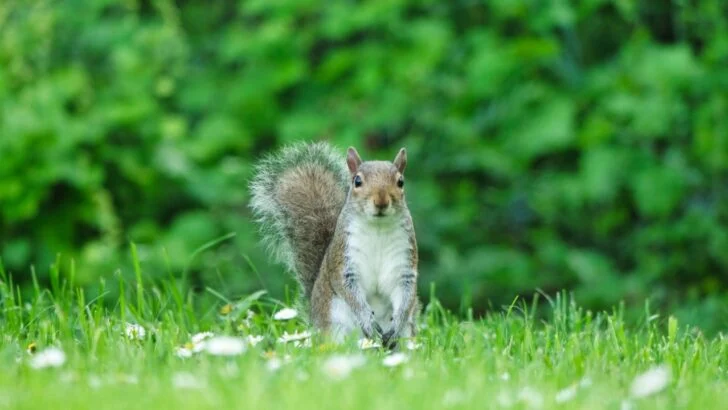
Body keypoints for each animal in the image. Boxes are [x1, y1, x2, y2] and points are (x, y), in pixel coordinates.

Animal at [249, 141, 420, 348]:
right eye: (357, 181)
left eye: (400, 182)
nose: (381, 201)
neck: (377, 227)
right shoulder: (343, 259)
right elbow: (347, 287)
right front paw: (367, 320)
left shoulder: (405, 260)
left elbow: (406, 292)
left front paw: (397, 322)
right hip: (335, 328)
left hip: (407, 335)